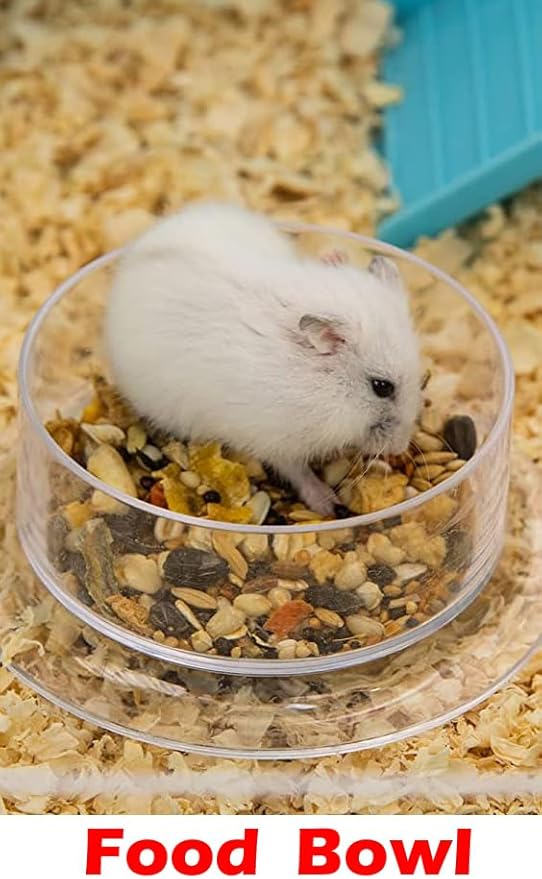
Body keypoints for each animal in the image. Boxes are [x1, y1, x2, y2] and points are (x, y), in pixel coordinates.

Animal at [105, 201, 422, 516]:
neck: (323, 383)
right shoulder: (277, 441)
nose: (400, 448)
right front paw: (329, 504)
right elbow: (297, 471)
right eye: (382, 387)